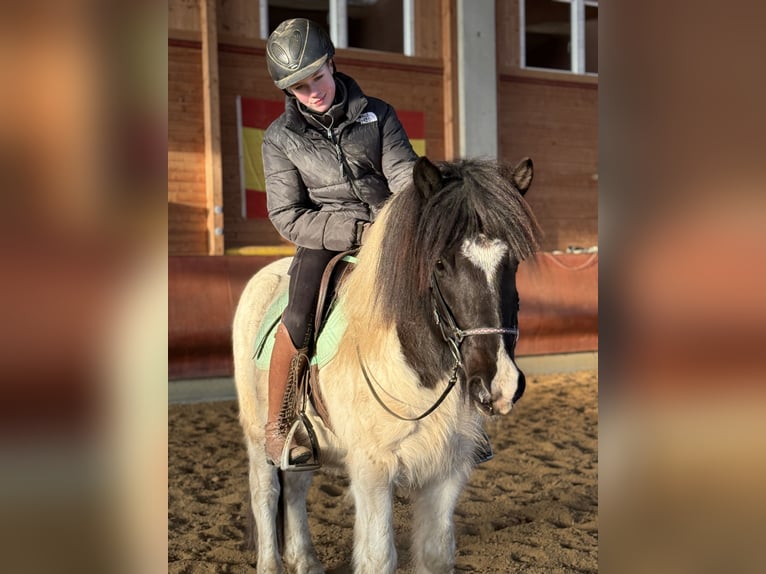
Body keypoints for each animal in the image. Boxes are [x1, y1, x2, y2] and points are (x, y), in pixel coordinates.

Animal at [232, 155, 541, 574]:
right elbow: (378, 557)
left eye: (513, 262)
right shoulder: (373, 470)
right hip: (257, 433)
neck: (417, 369)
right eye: (440, 263)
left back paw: (306, 560)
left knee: (294, 489)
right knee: (266, 494)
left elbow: (435, 554)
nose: (499, 385)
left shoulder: (447, 470)